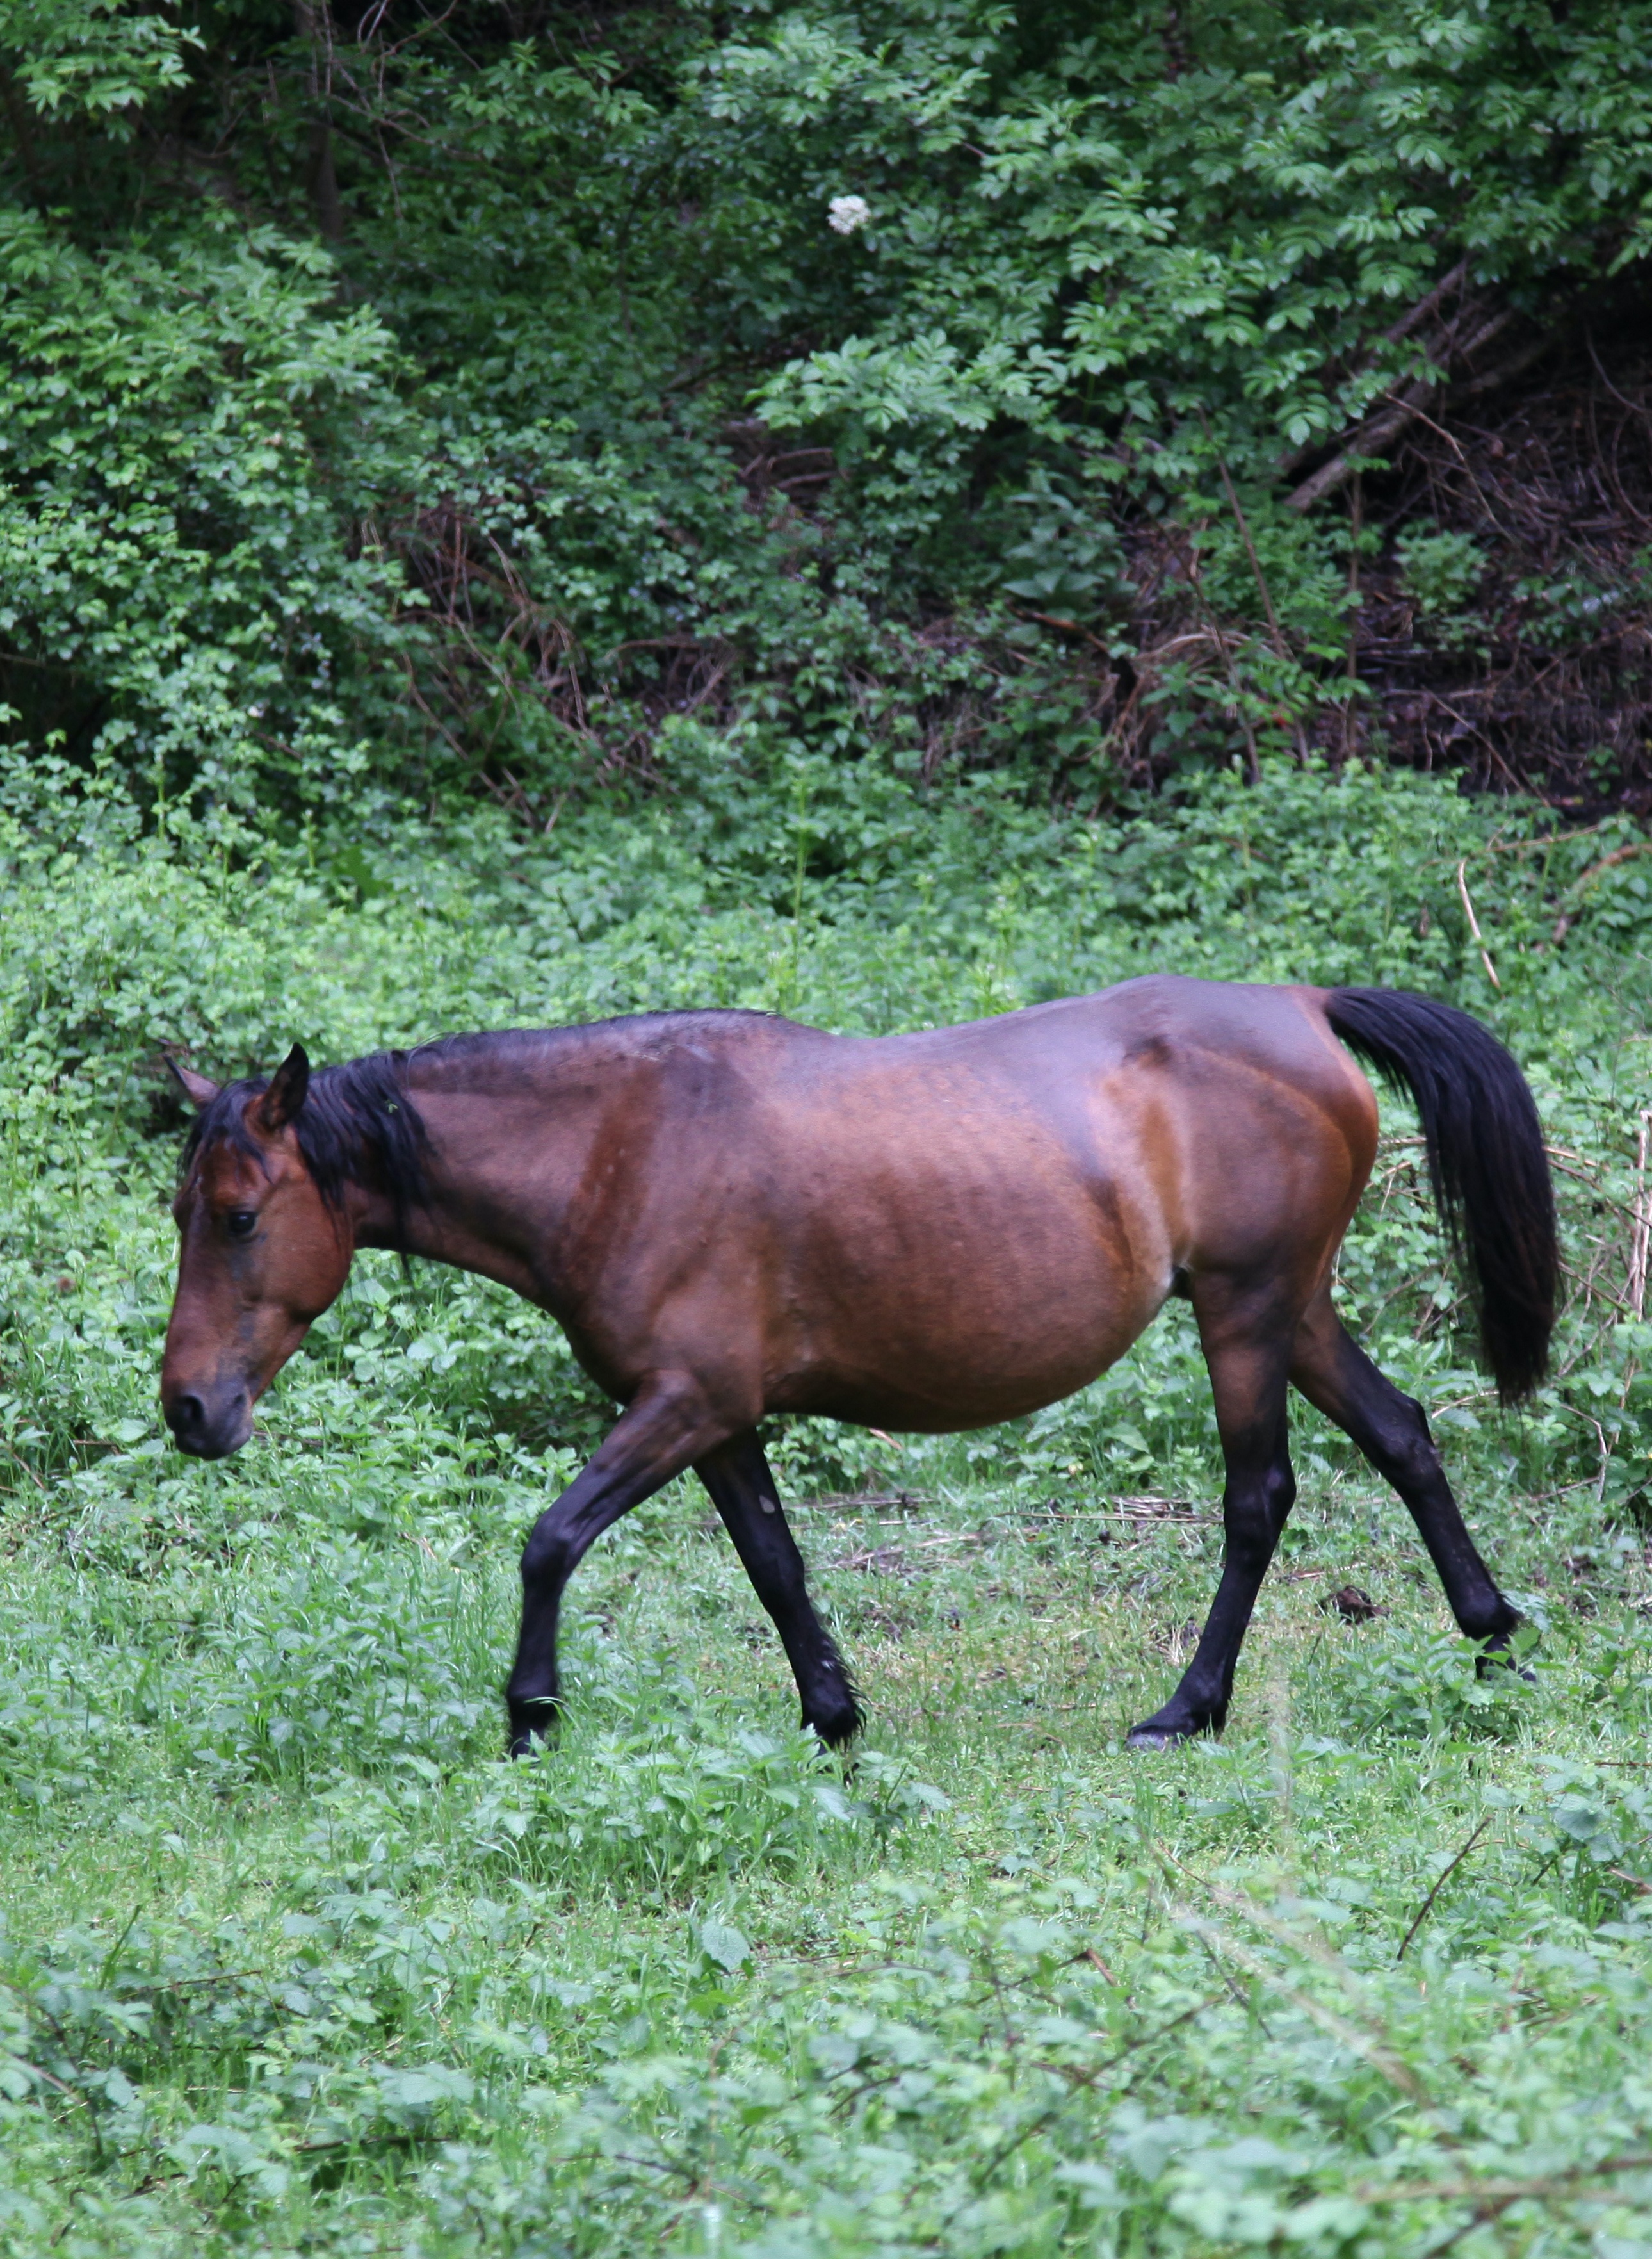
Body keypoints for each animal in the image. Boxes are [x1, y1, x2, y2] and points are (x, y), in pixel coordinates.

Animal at [161, 984, 1555, 1743]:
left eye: (237, 1214)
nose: (189, 1408)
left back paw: (1188, 1708)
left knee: (1260, 1498)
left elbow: (550, 1539)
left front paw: (531, 1715)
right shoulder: (718, 1418)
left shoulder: (685, 1403)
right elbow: (776, 1565)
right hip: (1292, 1308)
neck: (618, 1146)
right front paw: (833, 1719)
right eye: (186, 1207)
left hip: (1246, 1315)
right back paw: (1493, 1639)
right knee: (1405, 1433)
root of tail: (1306, 1008)